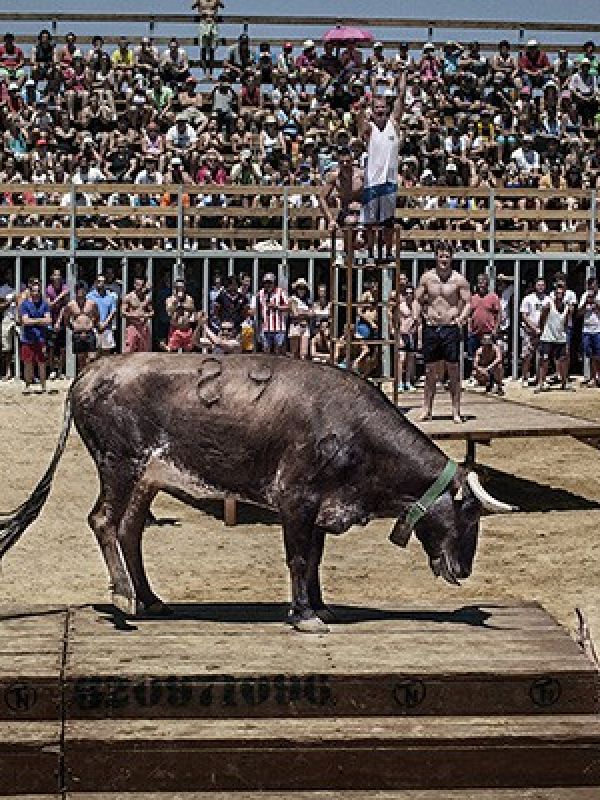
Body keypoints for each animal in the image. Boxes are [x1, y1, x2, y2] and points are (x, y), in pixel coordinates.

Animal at [0, 354, 516, 632]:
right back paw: (126, 596)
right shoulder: (297, 501)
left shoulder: (322, 507)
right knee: (103, 521)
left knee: (130, 530)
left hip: (147, 478)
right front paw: (304, 615)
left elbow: (316, 558)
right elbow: (299, 558)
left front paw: (320, 604)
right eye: (470, 512)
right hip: (119, 464)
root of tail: (92, 371)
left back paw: (150, 598)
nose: (465, 570)